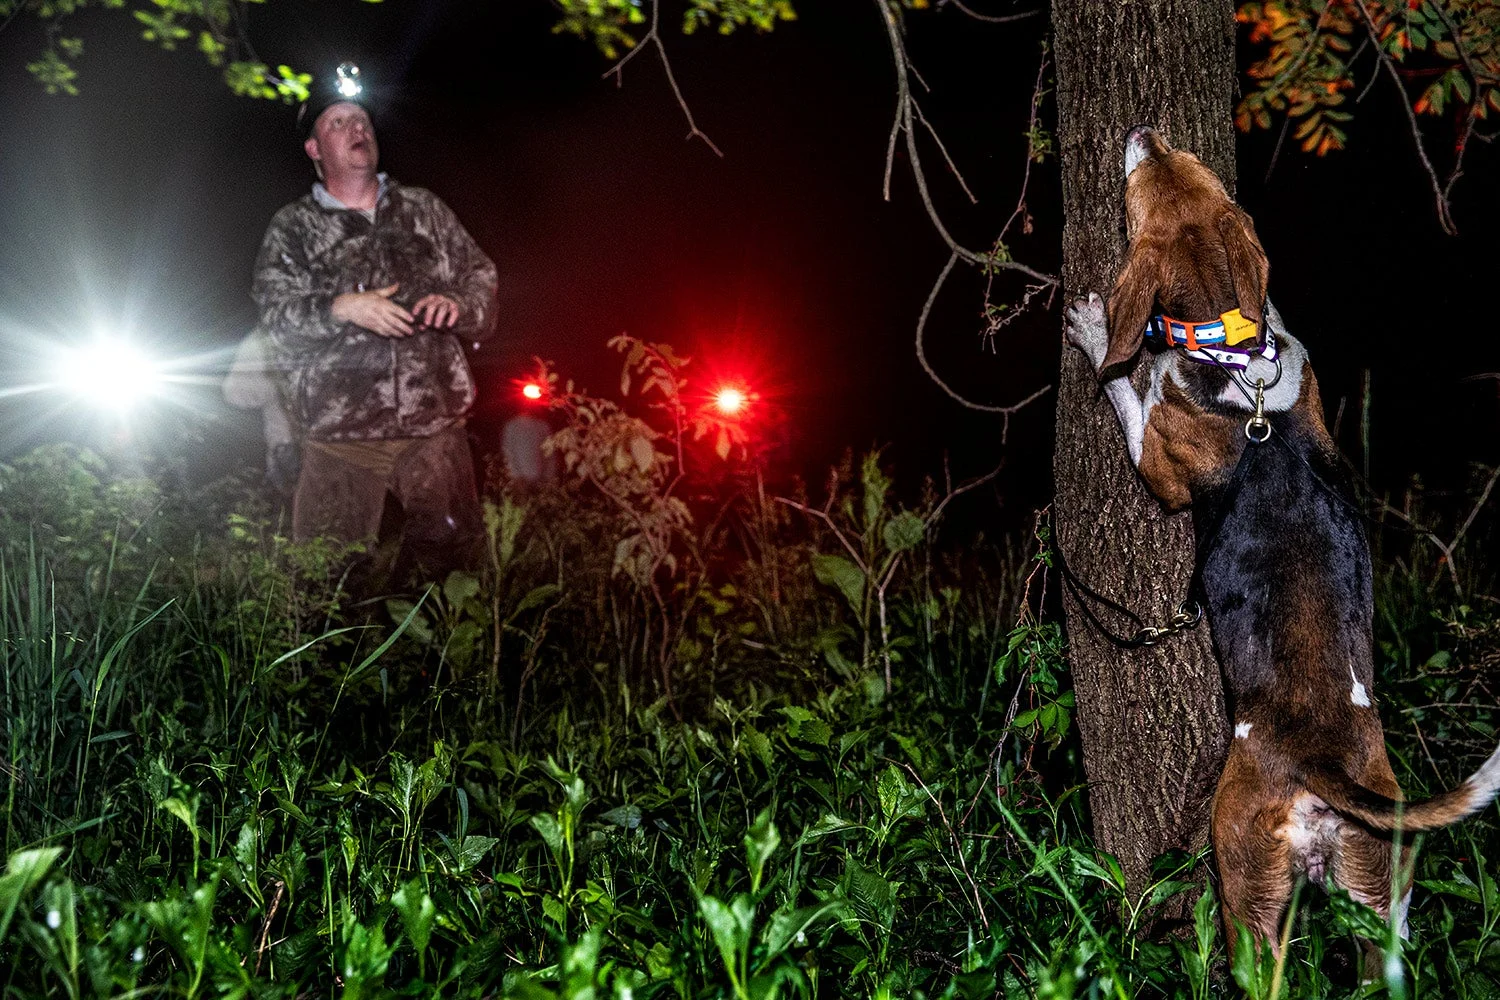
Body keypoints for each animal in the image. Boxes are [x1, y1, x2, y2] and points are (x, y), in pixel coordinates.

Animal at [1068, 125, 1500, 977]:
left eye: (1140, 191)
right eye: (1189, 167)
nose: (1143, 133)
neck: (1233, 358)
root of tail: (1318, 769)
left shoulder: (1158, 466)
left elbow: (1125, 388)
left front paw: (1098, 331)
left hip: (1245, 891)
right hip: (1384, 894)